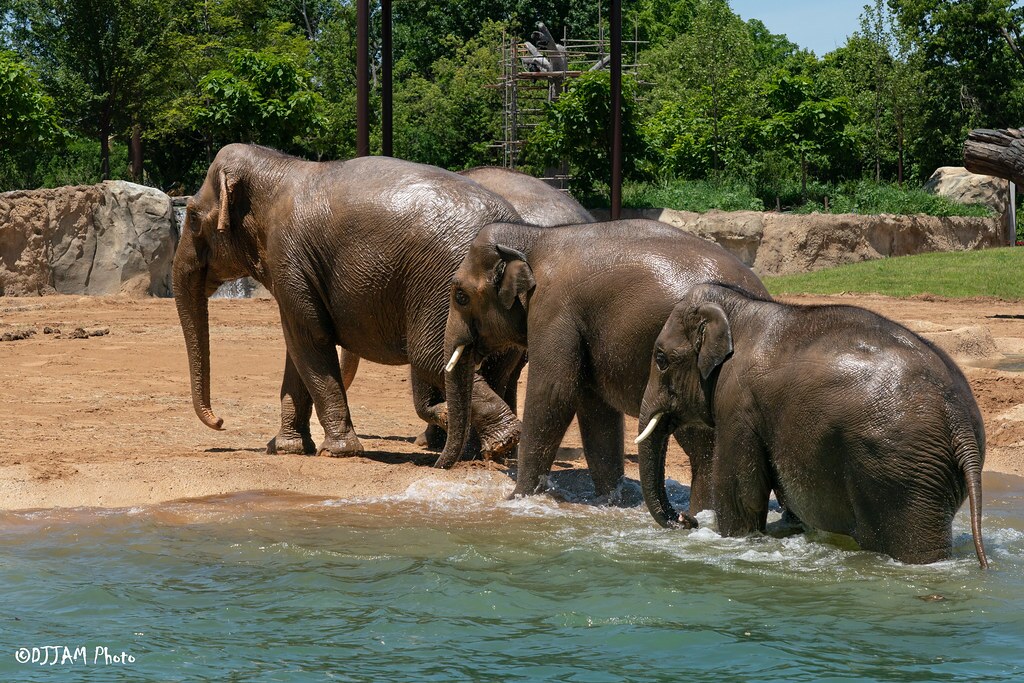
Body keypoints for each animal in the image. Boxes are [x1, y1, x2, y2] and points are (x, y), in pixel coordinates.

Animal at [174, 144, 533, 459]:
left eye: (192, 217)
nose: (220, 422)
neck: (277, 165)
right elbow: (298, 347)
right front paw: (286, 448)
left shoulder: (288, 257)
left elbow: (309, 340)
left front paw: (336, 451)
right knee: (489, 365)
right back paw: (481, 449)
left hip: (445, 286)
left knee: (431, 357)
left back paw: (498, 441)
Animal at [438, 219, 770, 508]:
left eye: (461, 296)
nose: (441, 466)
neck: (535, 237)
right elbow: (596, 409)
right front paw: (611, 501)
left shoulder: (554, 309)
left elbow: (553, 394)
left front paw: (516, 499)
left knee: (703, 448)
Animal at [635, 283, 988, 567]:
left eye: (660, 359)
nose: (687, 520)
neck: (739, 307)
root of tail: (959, 423)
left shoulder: (738, 403)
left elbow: (741, 496)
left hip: (901, 474)